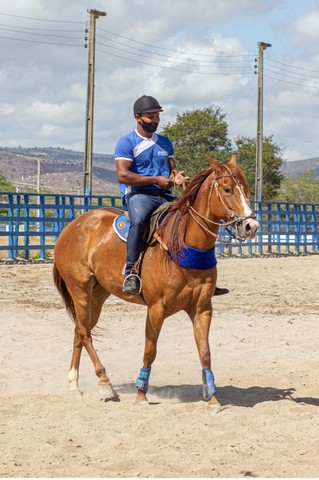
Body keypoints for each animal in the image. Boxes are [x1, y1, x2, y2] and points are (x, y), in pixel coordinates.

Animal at [53, 157, 260, 412]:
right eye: (227, 189)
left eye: (246, 188)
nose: (251, 226)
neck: (182, 246)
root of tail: (73, 226)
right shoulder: (156, 309)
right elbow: (150, 351)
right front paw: (141, 395)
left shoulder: (202, 308)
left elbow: (205, 352)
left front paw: (212, 399)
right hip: (79, 288)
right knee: (84, 333)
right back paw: (105, 384)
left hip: (98, 293)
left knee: (80, 331)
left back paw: (74, 385)